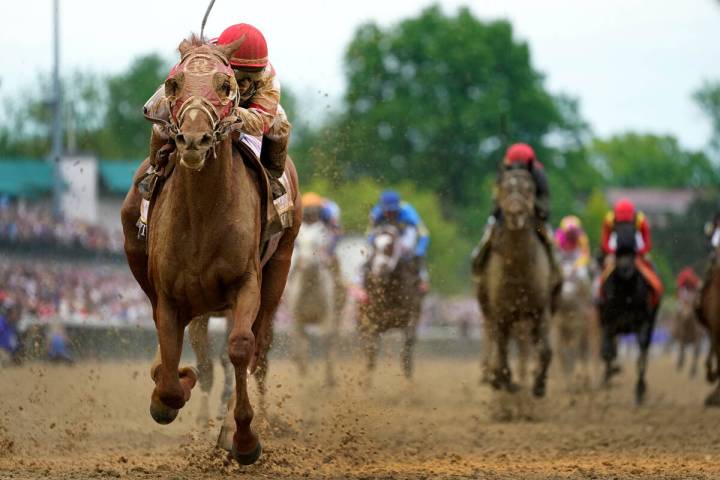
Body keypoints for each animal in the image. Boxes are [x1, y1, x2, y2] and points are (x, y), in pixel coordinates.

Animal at [119, 37, 300, 464]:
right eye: (173, 83)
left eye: (225, 84)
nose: (193, 140)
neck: (202, 215)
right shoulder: (171, 297)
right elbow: (173, 375)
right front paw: (170, 389)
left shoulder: (246, 283)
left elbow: (240, 348)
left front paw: (243, 438)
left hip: (279, 269)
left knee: (259, 350)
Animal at [358, 223, 422, 380]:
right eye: (374, 246)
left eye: (390, 246)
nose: (379, 270)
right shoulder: (373, 321)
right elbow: (371, 353)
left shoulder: (413, 313)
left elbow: (409, 342)